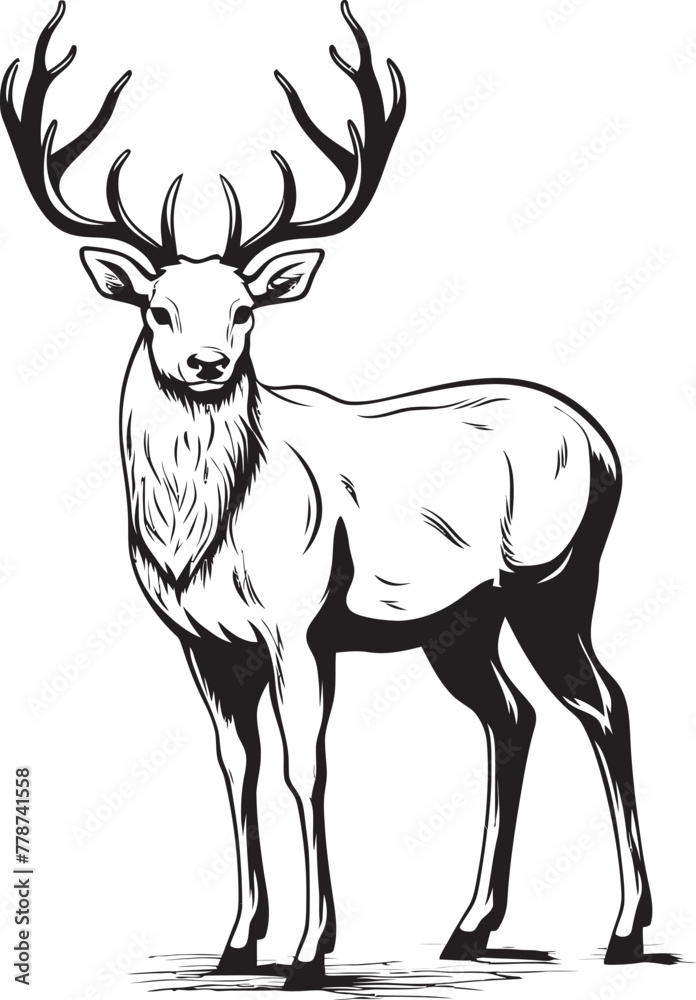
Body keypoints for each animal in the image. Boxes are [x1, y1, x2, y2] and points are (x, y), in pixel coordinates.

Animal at [2, 1, 654, 988]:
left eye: (244, 310)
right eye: (159, 308)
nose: (207, 364)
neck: (202, 537)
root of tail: (607, 447)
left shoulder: (300, 620)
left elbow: (302, 765)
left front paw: (310, 952)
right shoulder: (202, 642)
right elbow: (236, 768)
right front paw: (238, 944)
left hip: (553, 579)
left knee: (604, 703)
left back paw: (625, 929)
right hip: (461, 623)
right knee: (512, 715)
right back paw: (470, 927)